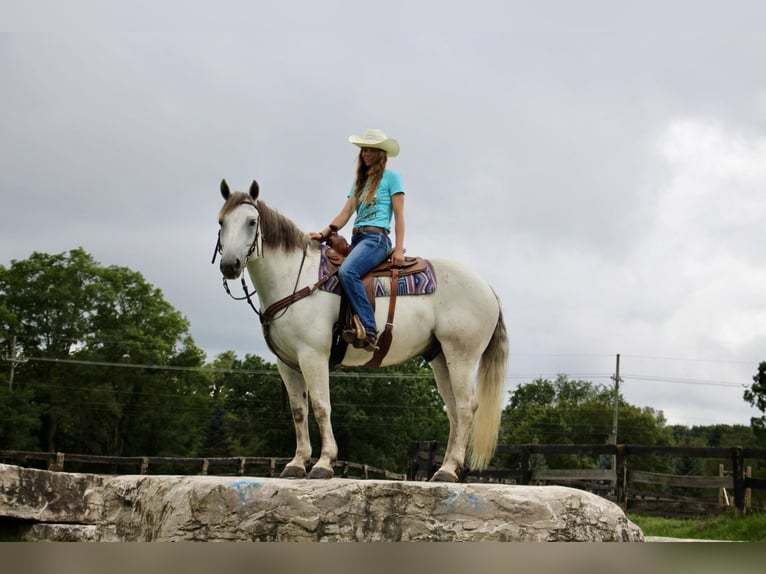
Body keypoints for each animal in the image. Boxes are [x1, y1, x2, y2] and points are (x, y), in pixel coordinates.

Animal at [214, 179, 510, 482]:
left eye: (251, 222)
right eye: (222, 221)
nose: (229, 265)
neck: (296, 279)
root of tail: (487, 289)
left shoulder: (313, 356)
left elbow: (321, 406)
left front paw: (324, 463)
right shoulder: (286, 363)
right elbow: (299, 411)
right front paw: (296, 464)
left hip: (461, 355)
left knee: (465, 406)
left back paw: (449, 470)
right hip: (440, 357)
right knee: (453, 410)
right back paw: (446, 467)